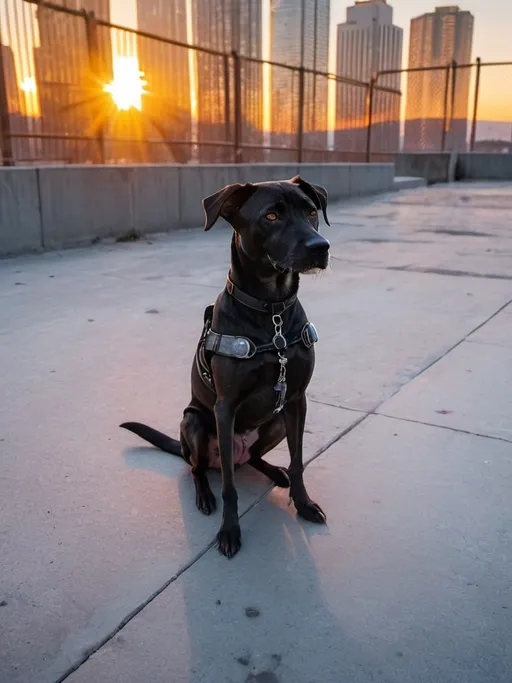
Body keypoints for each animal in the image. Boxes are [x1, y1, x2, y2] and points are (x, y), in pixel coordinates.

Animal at [123, 174, 332, 560]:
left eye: (312, 211)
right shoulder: (226, 407)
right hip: (193, 423)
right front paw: (229, 531)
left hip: (275, 422)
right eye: (271, 216)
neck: (271, 312)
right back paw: (205, 495)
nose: (320, 246)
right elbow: (230, 488)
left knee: (250, 460)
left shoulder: (297, 399)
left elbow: (298, 462)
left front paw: (304, 503)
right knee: (198, 468)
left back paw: (274, 472)